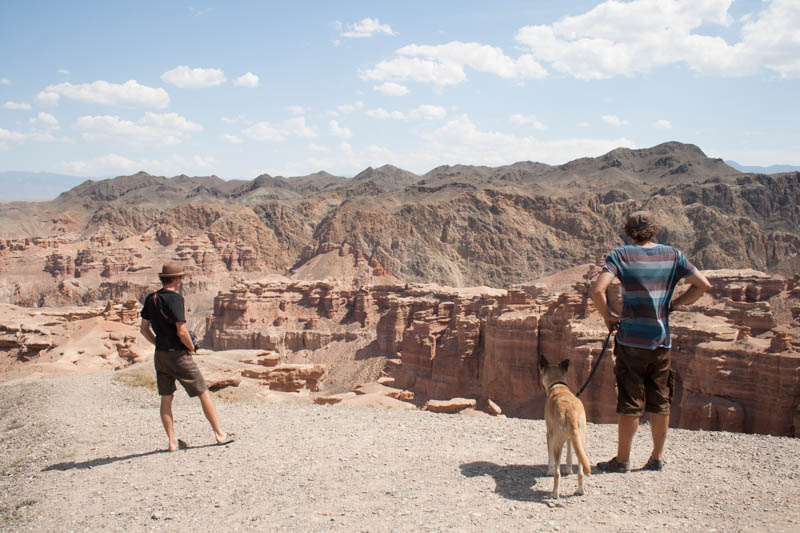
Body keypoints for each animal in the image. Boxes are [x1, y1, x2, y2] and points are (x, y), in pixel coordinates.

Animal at [540, 356, 592, 496]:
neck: (558, 386)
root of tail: (571, 412)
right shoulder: (570, 437)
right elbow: (569, 455)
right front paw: (569, 470)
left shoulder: (549, 433)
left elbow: (550, 459)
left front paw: (549, 471)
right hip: (581, 440)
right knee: (581, 471)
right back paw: (580, 490)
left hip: (558, 443)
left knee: (557, 474)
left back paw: (555, 493)